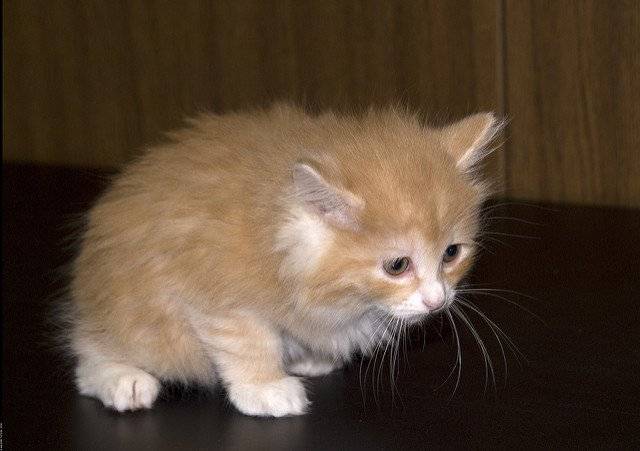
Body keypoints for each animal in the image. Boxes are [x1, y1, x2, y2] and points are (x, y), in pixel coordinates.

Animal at [68, 103, 501, 416]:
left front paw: (312, 358)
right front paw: (265, 387)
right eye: (397, 266)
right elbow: (248, 342)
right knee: (88, 353)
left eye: (451, 253)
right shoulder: (216, 293)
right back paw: (123, 379)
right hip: (142, 315)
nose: (437, 301)